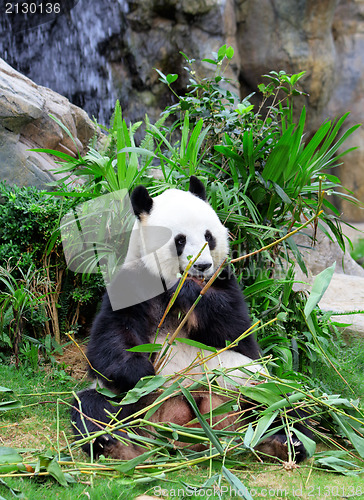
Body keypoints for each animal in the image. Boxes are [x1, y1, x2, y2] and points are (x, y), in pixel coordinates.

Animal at [72, 178, 312, 462]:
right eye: (180, 240)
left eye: (208, 237)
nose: (202, 266)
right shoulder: (132, 282)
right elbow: (111, 340)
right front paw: (142, 371)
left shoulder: (226, 283)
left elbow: (236, 331)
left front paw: (189, 291)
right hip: (131, 402)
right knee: (95, 407)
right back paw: (114, 443)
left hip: (249, 384)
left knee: (283, 403)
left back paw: (284, 443)